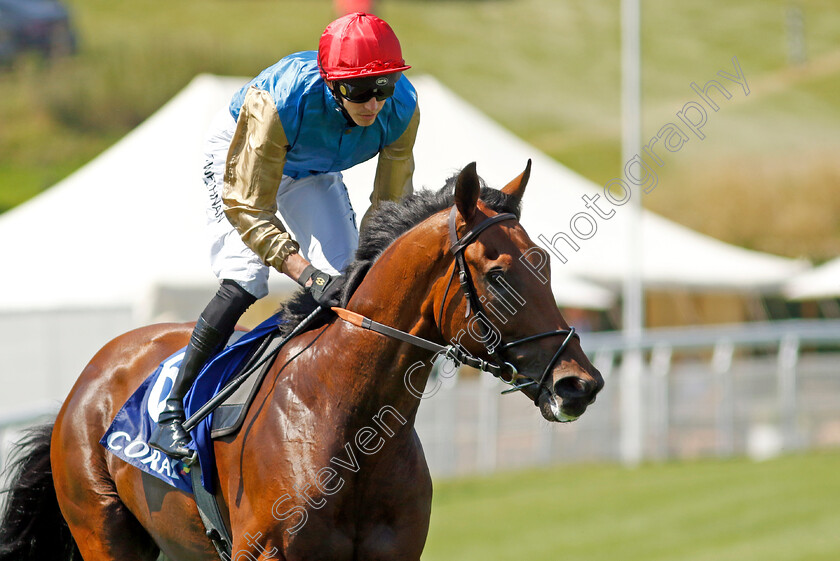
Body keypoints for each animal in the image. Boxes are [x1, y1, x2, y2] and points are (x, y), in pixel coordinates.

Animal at [0, 160, 604, 556]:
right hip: (102, 530)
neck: (348, 421)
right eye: (499, 275)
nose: (580, 383)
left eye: (545, 262)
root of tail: (89, 378)